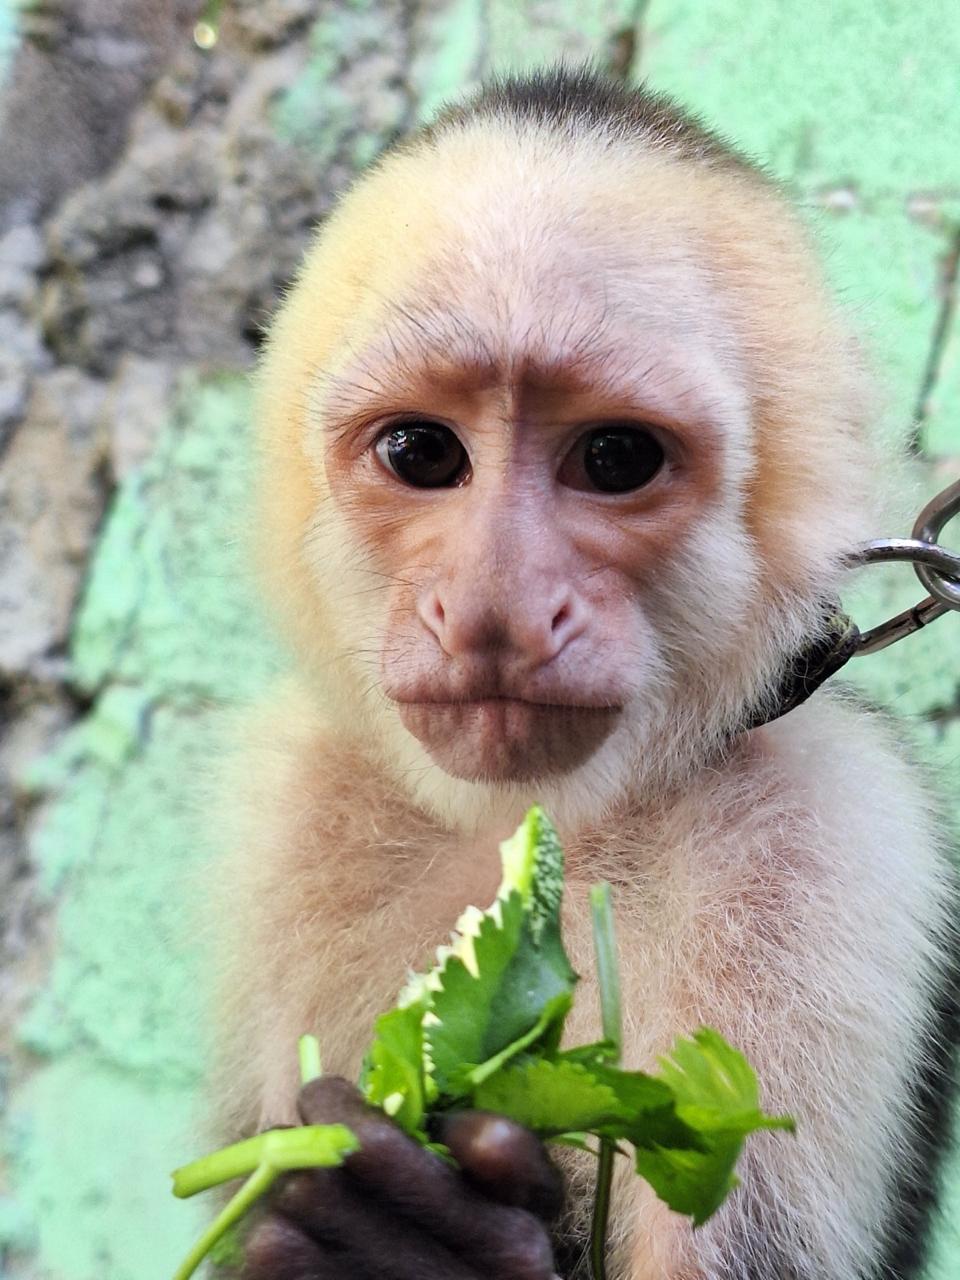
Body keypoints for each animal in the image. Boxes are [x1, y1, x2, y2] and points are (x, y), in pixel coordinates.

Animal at [207, 67, 960, 1280]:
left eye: (614, 458)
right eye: (422, 452)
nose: (492, 611)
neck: (549, 814)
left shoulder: (832, 837)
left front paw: (404, 1241)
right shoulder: (288, 803)